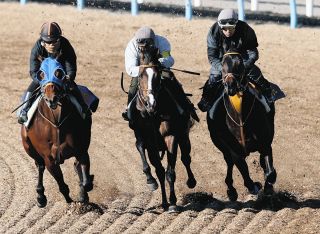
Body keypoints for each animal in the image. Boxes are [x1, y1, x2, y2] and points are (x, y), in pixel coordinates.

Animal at [20, 57, 94, 207]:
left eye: (59, 73)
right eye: (41, 74)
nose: (51, 98)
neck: (57, 124)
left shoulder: (81, 150)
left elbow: (86, 180)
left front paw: (83, 196)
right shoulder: (50, 159)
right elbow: (62, 186)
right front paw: (72, 204)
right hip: (28, 147)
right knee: (40, 166)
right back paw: (40, 196)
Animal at [129, 46, 196, 212]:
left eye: (157, 74)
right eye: (141, 75)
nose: (150, 103)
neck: (154, 114)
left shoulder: (171, 137)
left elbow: (170, 172)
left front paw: (172, 202)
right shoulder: (149, 142)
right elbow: (158, 170)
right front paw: (163, 199)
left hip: (184, 135)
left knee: (186, 158)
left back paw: (191, 181)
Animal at [208, 51, 278, 201]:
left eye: (240, 64)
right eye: (222, 65)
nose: (230, 86)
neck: (240, 118)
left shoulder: (265, 143)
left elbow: (270, 172)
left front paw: (268, 186)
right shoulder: (234, 151)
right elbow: (244, 172)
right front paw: (254, 186)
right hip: (221, 146)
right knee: (229, 163)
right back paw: (231, 190)